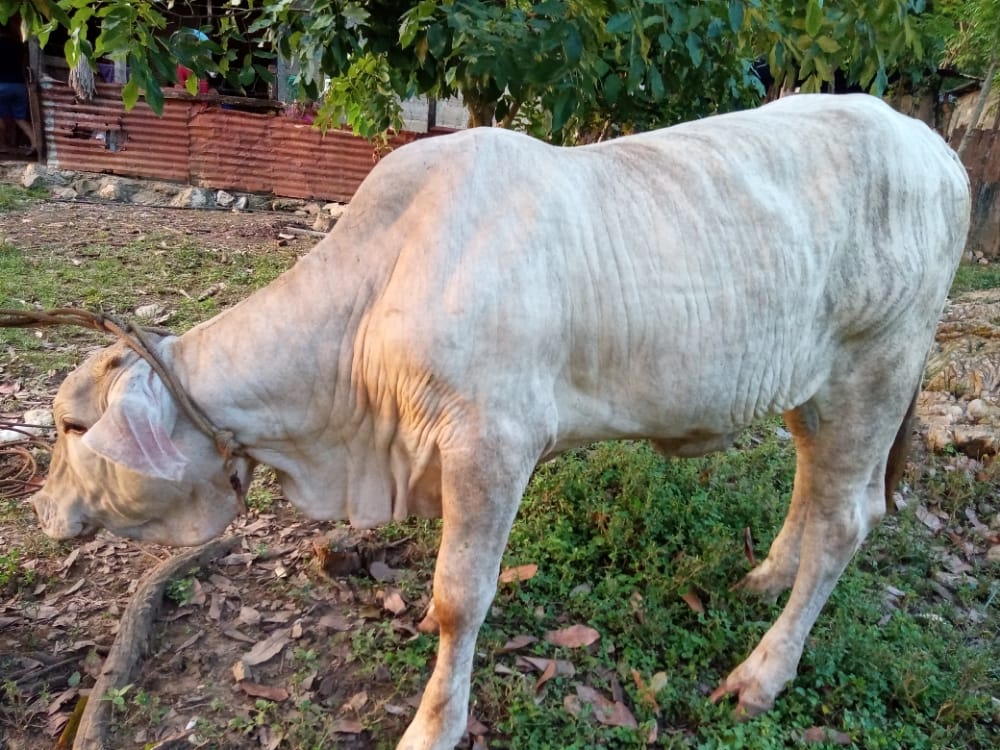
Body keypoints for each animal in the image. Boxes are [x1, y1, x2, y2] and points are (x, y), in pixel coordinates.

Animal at [29, 94, 969, 749]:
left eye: (74, 428)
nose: (39, 510)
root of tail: (935, 148)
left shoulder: (493, 442)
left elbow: (460, 596)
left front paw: (432, 723)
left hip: (877, 369)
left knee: (848, 521)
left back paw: (761, 675)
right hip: (813, 386)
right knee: (814, 488)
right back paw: (766, 576)